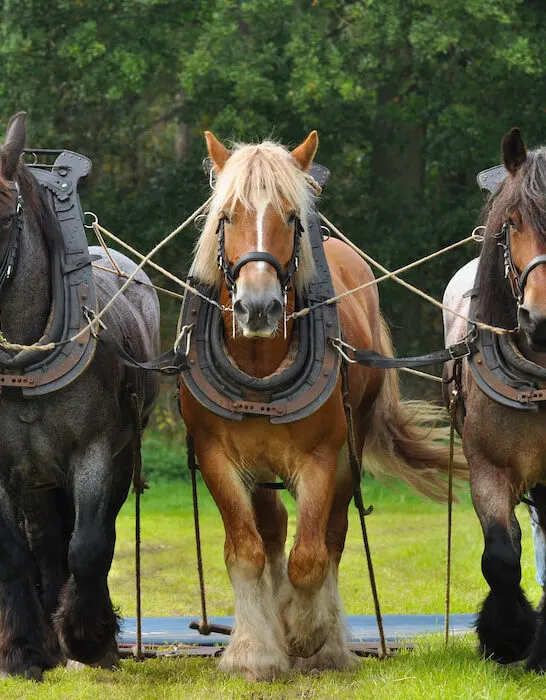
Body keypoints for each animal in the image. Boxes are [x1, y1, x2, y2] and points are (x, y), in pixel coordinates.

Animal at [0, 112, 160, 679]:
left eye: (3, 219)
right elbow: (16, 552)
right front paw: (25, 650)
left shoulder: (93, 450)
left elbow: (89, 546)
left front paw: (89, 640)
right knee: (46, 544)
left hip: (116, 455)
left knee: (90, 535)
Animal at [179, 130, 466, 681]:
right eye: (227, 216)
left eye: (291, 217)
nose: (259, 307)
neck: (260, 363)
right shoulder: (217, 456)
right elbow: (246, 550)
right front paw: (254, 652)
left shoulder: (318, 459)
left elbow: (310, 556)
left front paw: (306, 634)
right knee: (272, 531)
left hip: (348, 453)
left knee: (331, 535)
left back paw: (325, 640)